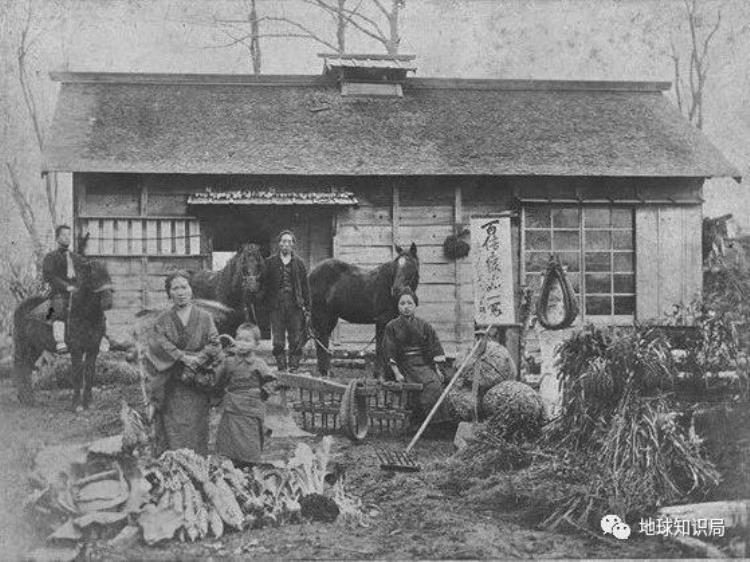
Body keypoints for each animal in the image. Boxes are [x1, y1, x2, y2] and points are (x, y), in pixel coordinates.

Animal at [12, 255, 113, 406]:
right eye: (94, 277)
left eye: (108, 275)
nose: (108, 303)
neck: (85, 314)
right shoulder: (76, 349)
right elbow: (77, 374)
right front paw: (76, 404)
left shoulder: (93, 348)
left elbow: (90, 373)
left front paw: (88, 402)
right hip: (23, 346)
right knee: (20, 366)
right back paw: (26, 397)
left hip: (36, 347)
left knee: (27, 367)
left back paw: (28, 398)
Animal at [306, 241, 424, 376]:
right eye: (396, 266)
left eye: (410, 265)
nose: (396, 290)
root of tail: (310, 273)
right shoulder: (382, 320)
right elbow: (380, 348)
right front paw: (378, 375)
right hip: (321, 314)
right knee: (321, 339)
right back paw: (325, 371)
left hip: (331, 317)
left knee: (322, 339)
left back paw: (326, 371)